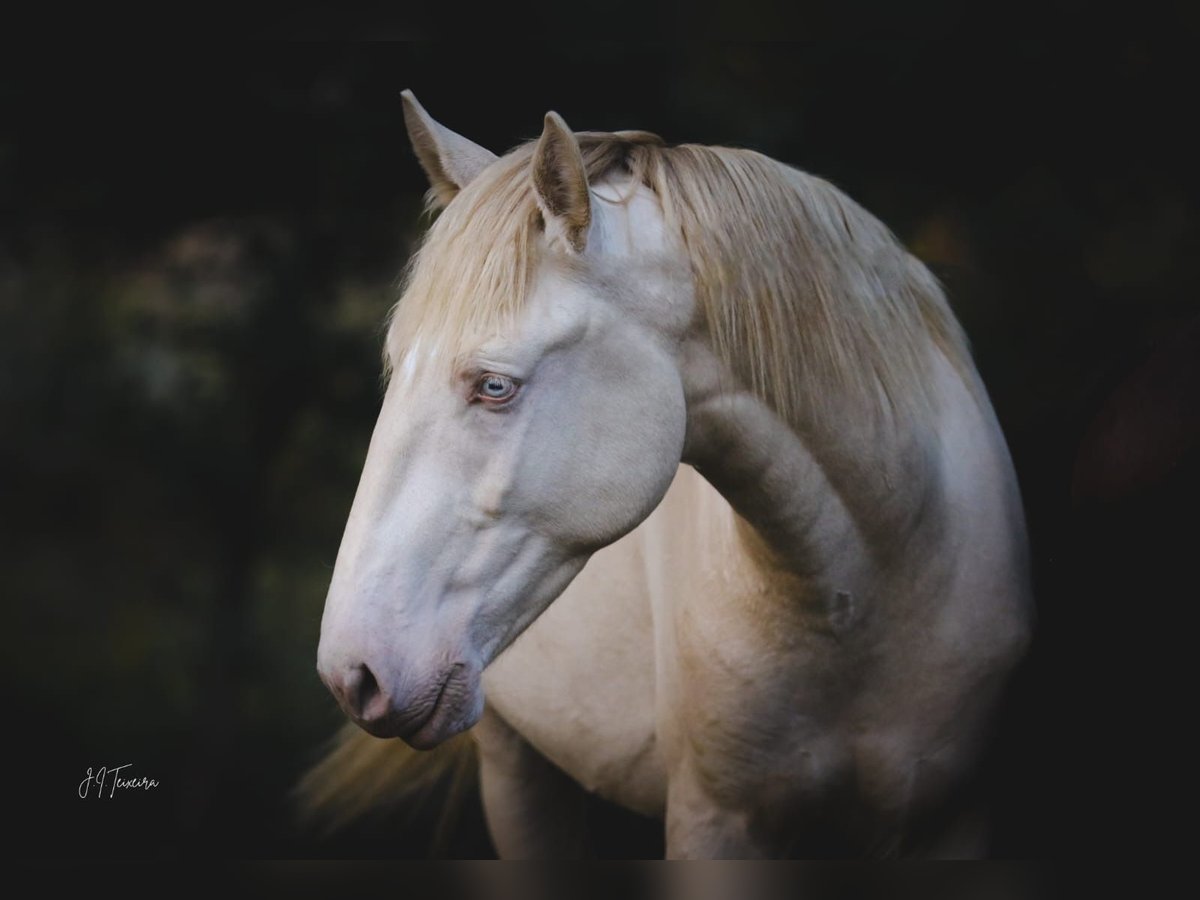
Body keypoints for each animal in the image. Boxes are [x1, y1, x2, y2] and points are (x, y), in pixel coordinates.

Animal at [300, 91, 1032, 859]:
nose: (353, 674)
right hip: (512, 763)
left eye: (494, 386)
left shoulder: (951, 819)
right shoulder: (714, 820)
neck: (870, 590)